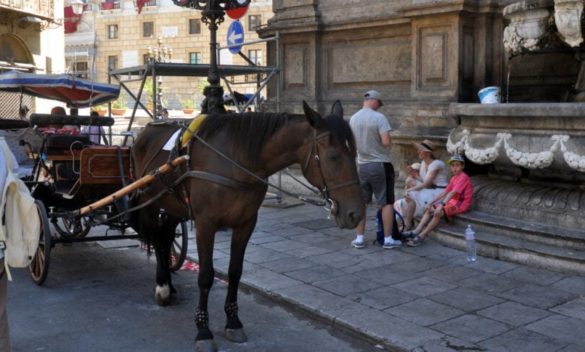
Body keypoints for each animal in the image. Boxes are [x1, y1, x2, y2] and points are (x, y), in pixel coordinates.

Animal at [130, 100, 362, 350]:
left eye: (355, 152)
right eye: (333, 156)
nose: (356, 213)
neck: (237, 160)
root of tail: (143, 131)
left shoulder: (246, 223)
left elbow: (235, 272)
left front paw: (233, 320)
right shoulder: (205, 224)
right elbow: (206, 276)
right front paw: (203, 330)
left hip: (175, 204)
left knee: (165, 236)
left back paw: (169, 284)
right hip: (150, 201)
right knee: (156, 237)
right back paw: (162, 285)